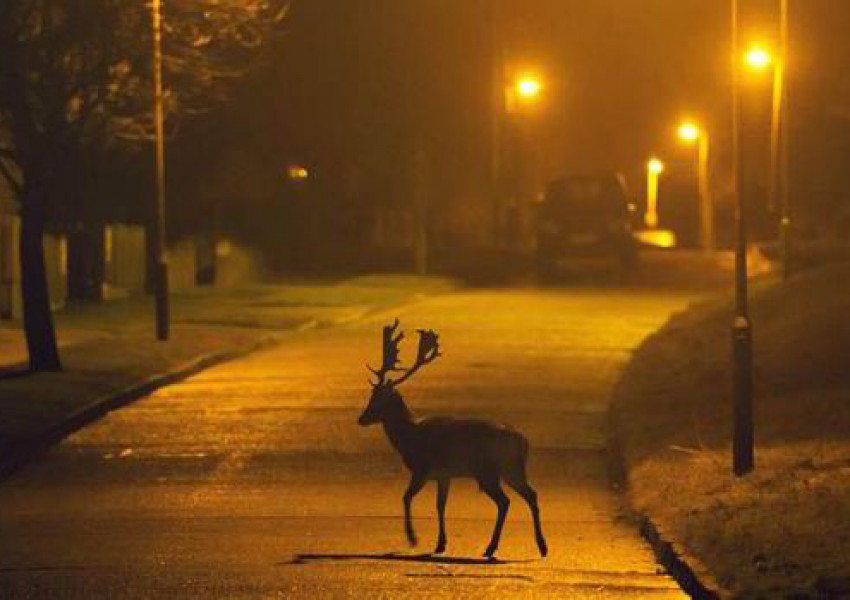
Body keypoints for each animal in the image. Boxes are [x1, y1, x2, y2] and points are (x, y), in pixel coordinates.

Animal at [354, 322, 548, 560]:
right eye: (371, 396)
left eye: (378, 399)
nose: (361, 418)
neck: (409, 438)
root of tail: (522, 441)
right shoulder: (444, 475)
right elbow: (440, 505)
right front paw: (440, 544)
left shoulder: (422, 468)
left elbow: (406, 497)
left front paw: (413, 538)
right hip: (512, 469)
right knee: (531, 495)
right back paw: (541, 547)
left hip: (486, 470)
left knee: (505, 501)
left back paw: (491, 548)